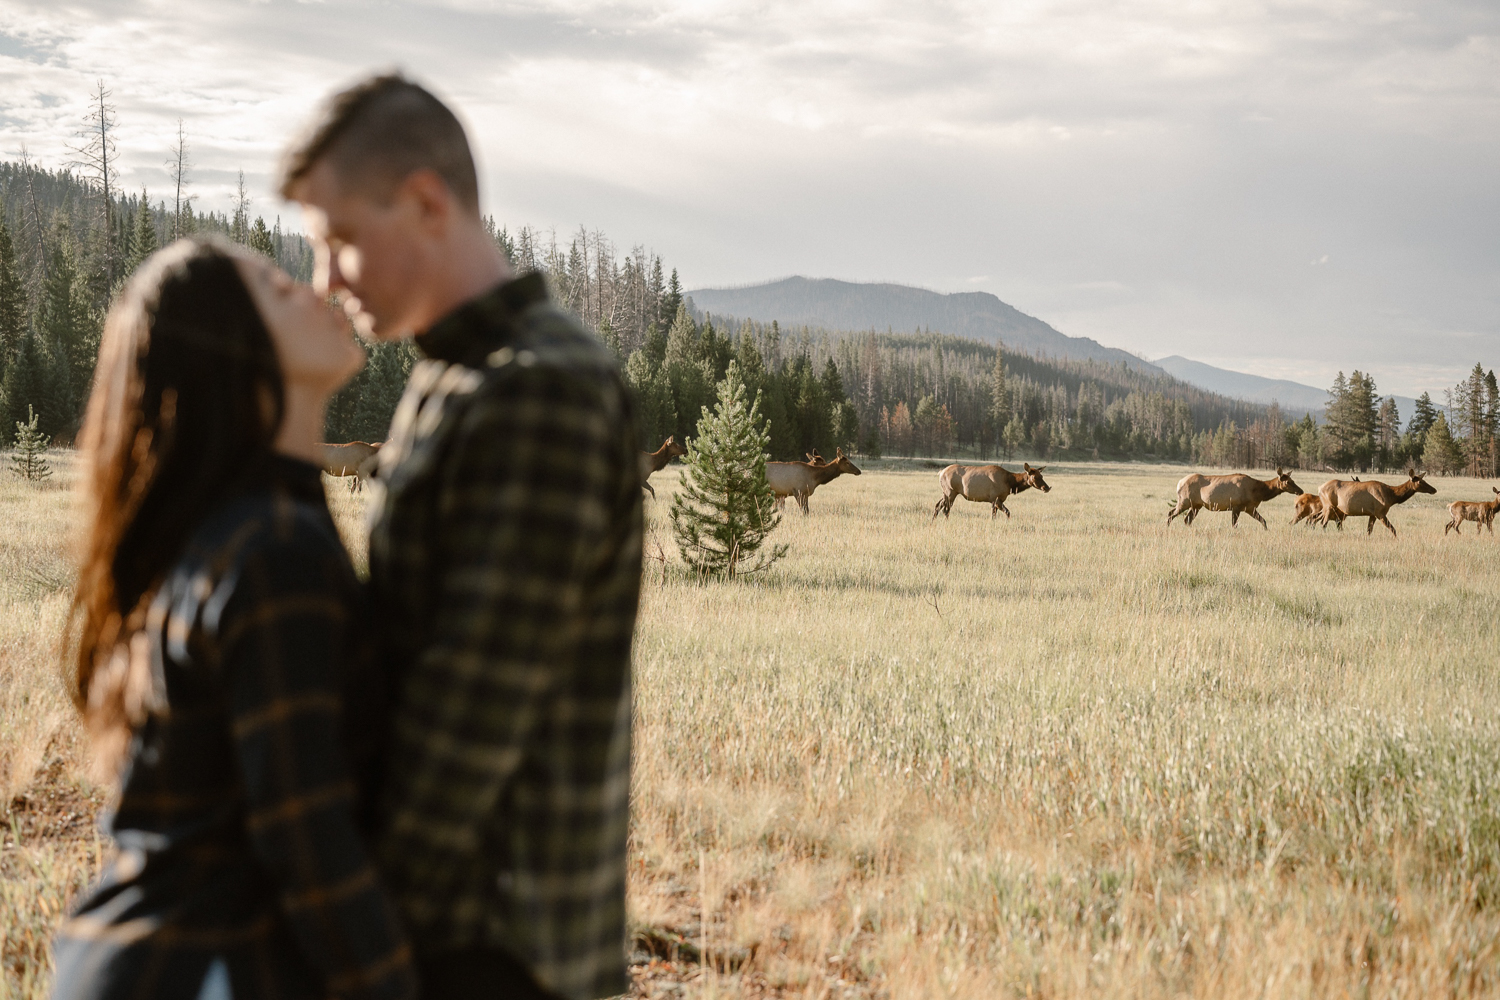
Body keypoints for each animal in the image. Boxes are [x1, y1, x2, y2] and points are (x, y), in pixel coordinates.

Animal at [1158, 470, 1302, 530]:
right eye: (1288, 482)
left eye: (1293, 480)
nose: (1301, 491)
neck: (1258, 492)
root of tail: (1179, 483)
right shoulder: (1236, 506)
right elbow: (1234, 524)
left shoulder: (1249, 508)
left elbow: (1263, 521)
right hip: (1184, 501)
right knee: (1171, 513)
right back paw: (1166, 527)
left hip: (1196, 505)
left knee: (1187, 519)